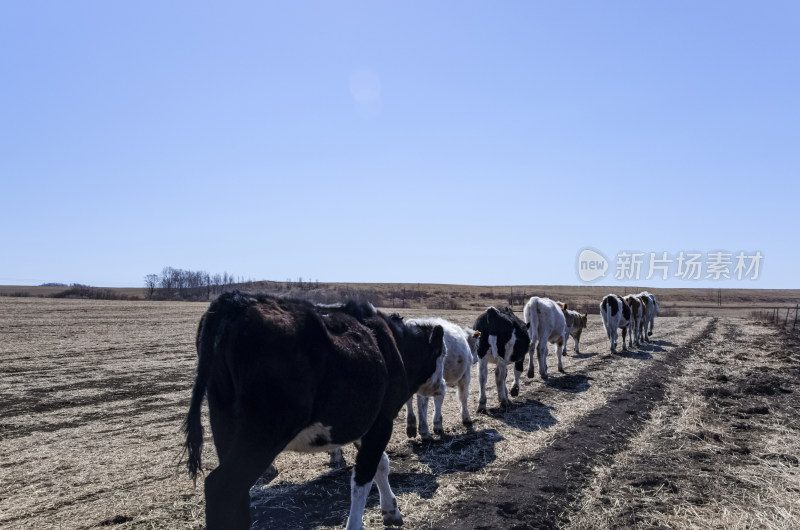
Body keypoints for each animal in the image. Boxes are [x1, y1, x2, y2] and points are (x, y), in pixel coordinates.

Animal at [184, 290, 446, 524]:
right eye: (441, 353)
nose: (440, 387)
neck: (394, 344)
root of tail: (236, 300)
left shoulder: (364, 423)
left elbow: (381, 464)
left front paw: (391, 510)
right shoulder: (381, 421)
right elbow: (363, 476)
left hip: (224, 423)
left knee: (238, 496)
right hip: (264, 431)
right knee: (222, 488)